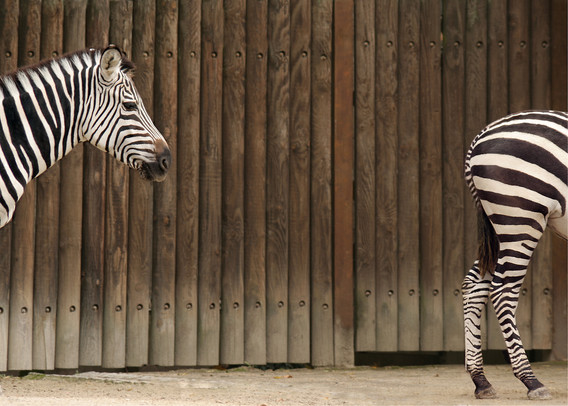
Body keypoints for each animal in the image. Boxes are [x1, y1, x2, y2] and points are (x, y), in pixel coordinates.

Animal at [464, 110, 564, 400]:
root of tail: (481, 135)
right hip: (520, 217)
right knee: (502, 291)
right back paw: (531, 380)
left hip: (500, 226)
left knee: (474, 284)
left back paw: (481, 380)